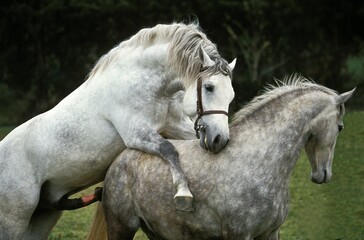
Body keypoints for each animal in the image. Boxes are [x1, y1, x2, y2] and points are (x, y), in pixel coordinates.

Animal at [0, 23, 236, 240]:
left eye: (231, 95)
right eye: (209, 87)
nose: (219, 139)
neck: (141, 82)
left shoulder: (175, 126)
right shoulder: (136, 134)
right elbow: (169, 149)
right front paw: (183, 194)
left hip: (44, 215)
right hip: (15, 219)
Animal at [101, 76, 354, 240]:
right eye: (340, 127)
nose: (323, 174)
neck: (261, 159)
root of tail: (119, 160)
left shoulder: (271, 233)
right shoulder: (239, 234)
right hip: (122, 228)